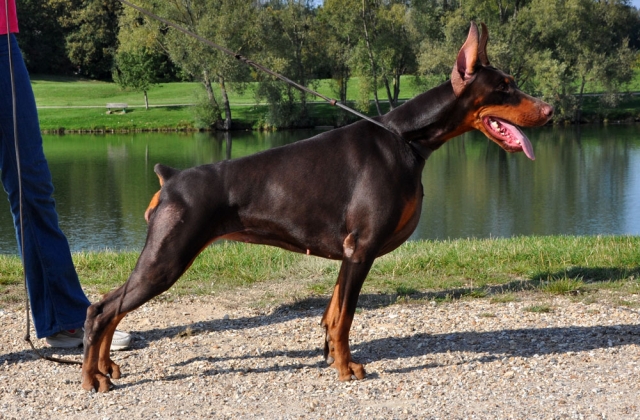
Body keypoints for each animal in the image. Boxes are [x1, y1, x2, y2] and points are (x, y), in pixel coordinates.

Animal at [81, 22, 553, 392]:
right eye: (505, 86)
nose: (551, 110)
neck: (407, 140)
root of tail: (170, 176)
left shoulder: (349, 252)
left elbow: (332, 313)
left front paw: (333, 359)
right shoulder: (361, 249)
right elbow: (344, 318)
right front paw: (346, 369)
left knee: (109, 307)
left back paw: (106, 366)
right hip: (168, 257)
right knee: (102, 309)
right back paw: (92, 378)